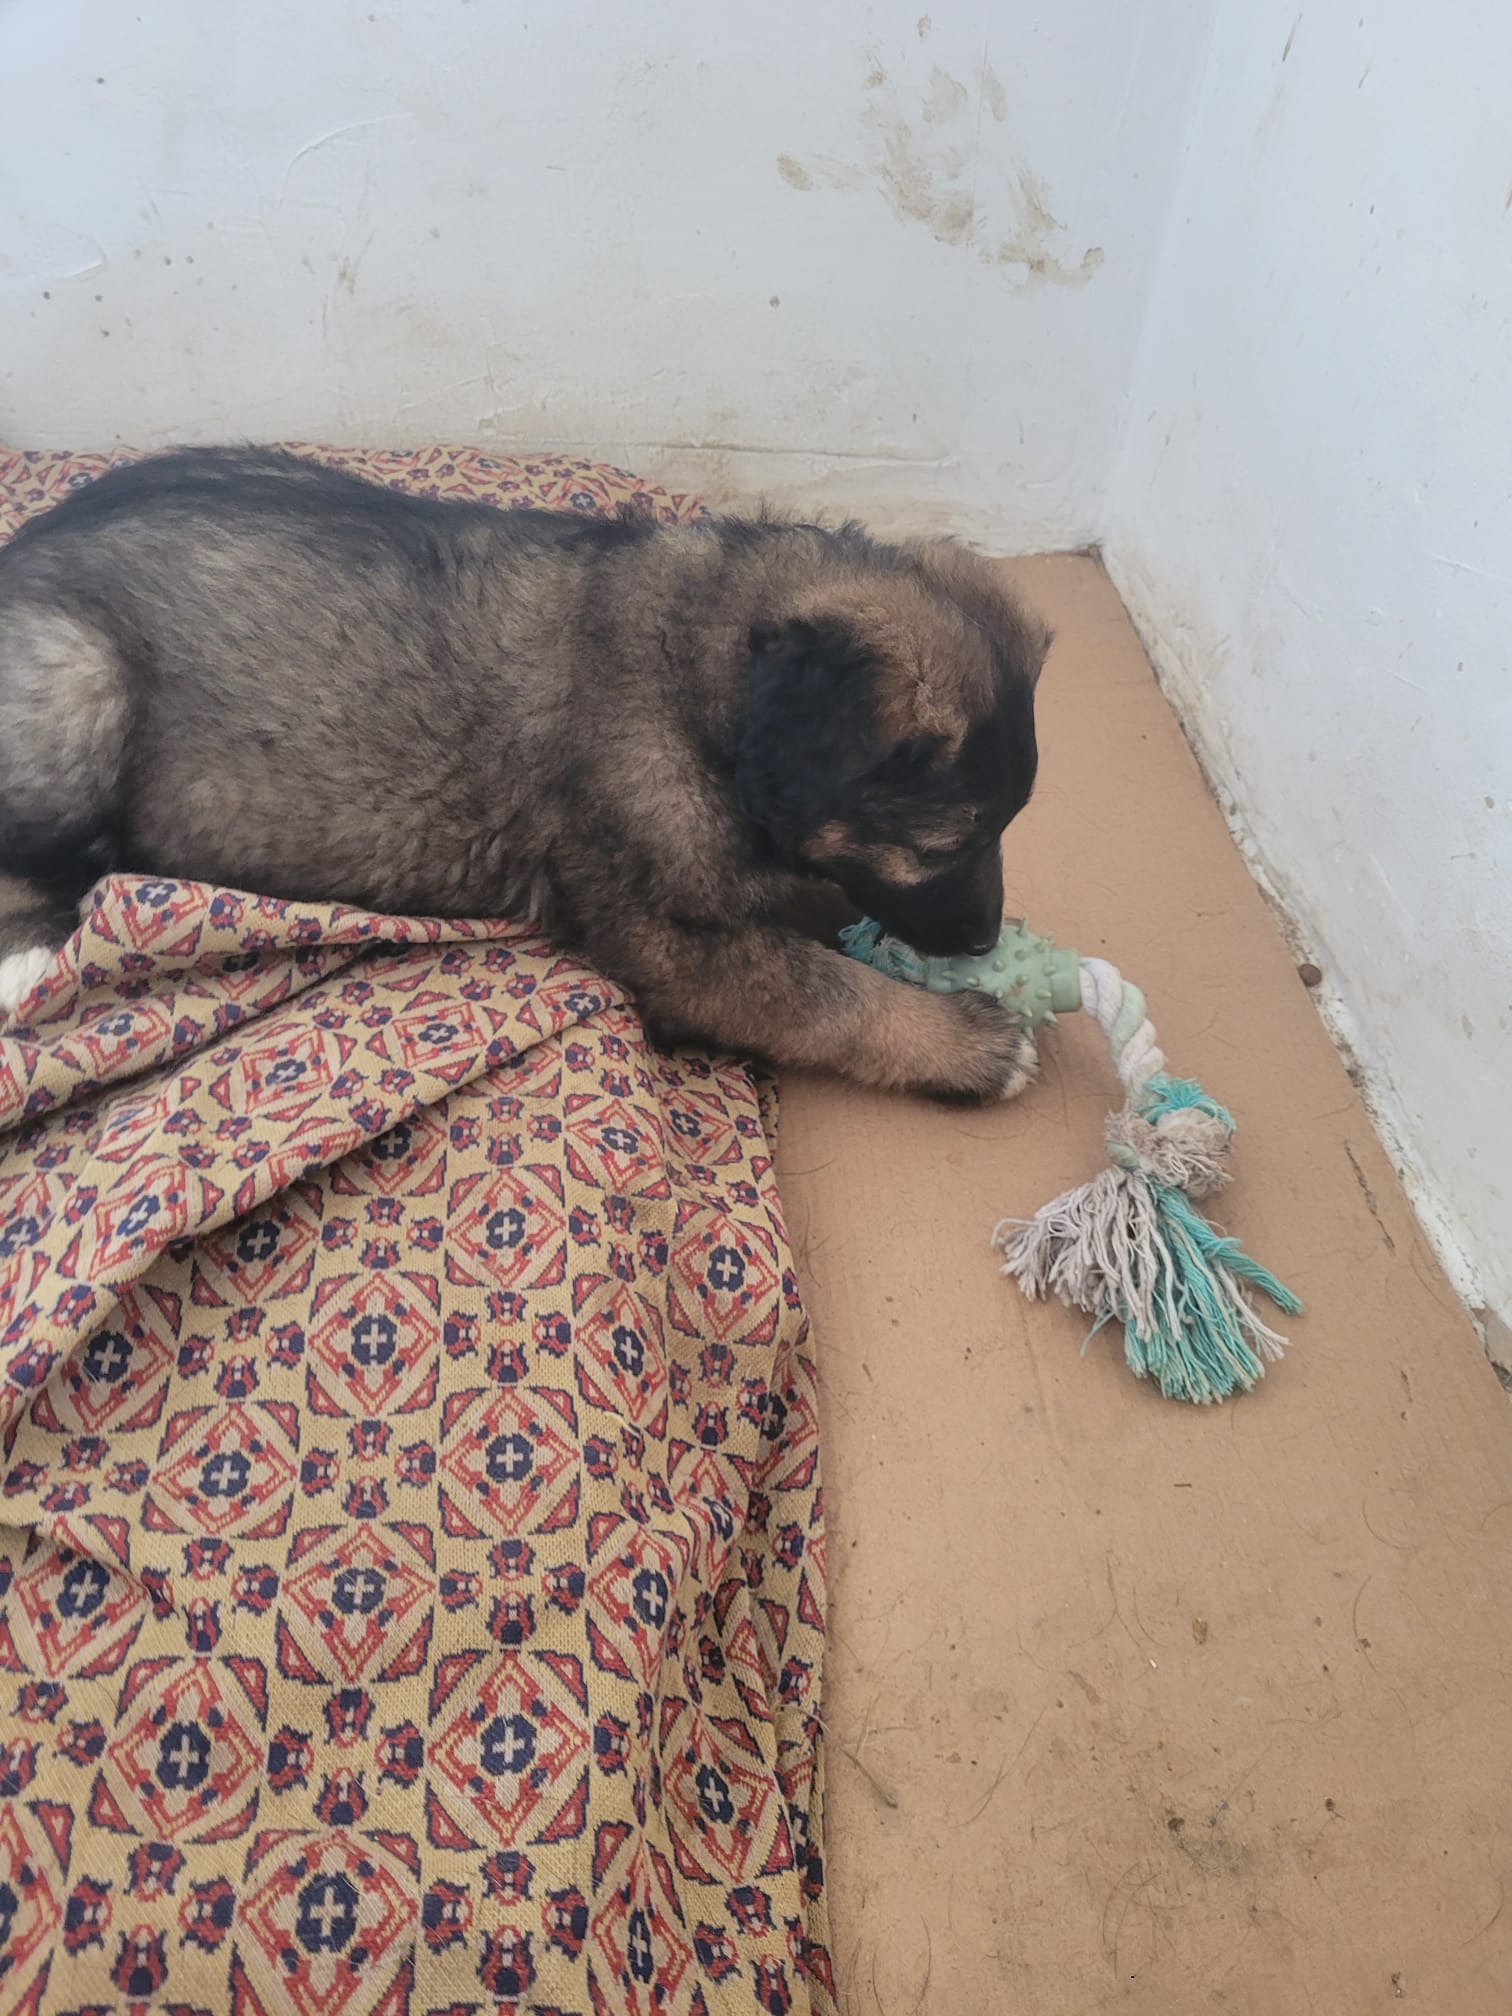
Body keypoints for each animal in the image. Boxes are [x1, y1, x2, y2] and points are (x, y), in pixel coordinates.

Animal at [0, 448, 1048, 1100]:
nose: (985, 936)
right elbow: (832, 997)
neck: (708, 673)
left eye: (1007, 831)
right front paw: (969, 1042)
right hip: (78, 680)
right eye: (942, 846)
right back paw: (34, 954)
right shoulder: (679, 947)